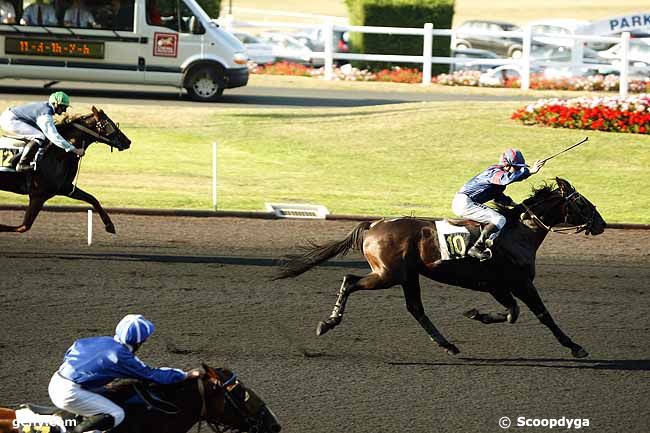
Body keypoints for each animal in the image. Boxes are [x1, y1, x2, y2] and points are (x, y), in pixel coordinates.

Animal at [0, 106, 130, 235]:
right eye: (109, 124)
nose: (128, 141)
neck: (58, 154)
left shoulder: (65, 188)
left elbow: (92, 199)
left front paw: (110, 225)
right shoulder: (39, 195)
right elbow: (23, 227)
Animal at [276, 177, 604, 356]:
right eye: (582, 203)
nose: (600, 224)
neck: (518, 232)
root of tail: (375, 224)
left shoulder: (495, 285)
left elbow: (512, 313)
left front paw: (476, 314)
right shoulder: (519, 283)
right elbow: (542, 315)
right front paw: (575, 346)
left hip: (407, 276)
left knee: (415, 309)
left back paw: (448, 345)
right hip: (388, 274)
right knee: (350, 279)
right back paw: (328, 322)